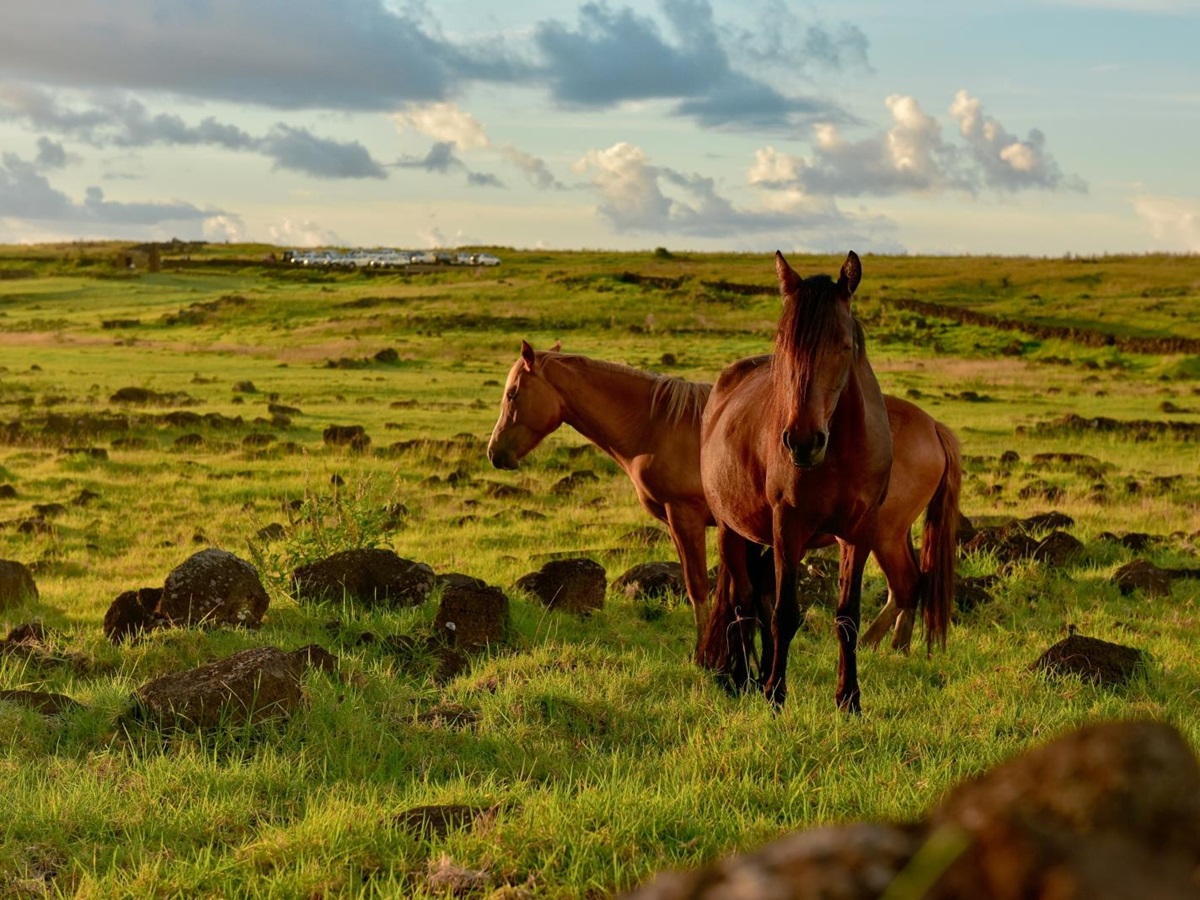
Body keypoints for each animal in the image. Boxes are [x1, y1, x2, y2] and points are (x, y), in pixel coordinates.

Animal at [486, 339, 959, 670]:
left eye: (512, 394)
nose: (495, 453)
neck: (656, 425)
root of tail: (932, 426)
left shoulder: (685, 518)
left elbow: (698, 587)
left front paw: (702, 656)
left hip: (882, 533)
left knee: (907, 586)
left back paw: (875, 646)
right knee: (911, 586)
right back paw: (894, 648)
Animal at [700, 251, 894, 712]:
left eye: (844, 345)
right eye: (785, 346)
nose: (803, 442)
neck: (840, 452)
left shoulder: (860, 532)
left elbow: (847, 617)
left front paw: (849, 699)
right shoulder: (788, 525)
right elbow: (784, 614)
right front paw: (774, 693)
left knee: (759, 597)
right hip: (732, 530)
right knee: (743, 603)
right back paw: (744, 678)